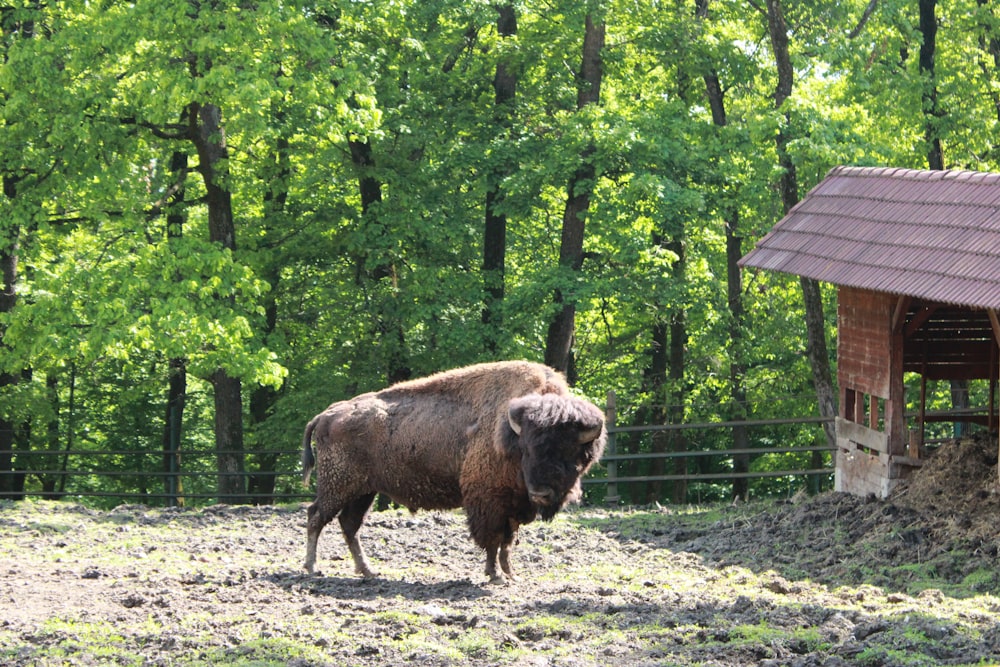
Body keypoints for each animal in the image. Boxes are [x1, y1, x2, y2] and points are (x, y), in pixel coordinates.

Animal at [300, 360, 604, 584]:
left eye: (569, 452)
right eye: (526, 450)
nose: (540, 493)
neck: (509, 433)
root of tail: (326, 414)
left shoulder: (513, 505)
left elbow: (508, 541)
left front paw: (511, 574)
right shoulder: (488, 501)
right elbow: (493, 539)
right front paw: (495, 575)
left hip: (363, 491)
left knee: (349, 524)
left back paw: (368, 571)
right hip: (338, 486)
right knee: (316, 516)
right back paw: (312, 567)